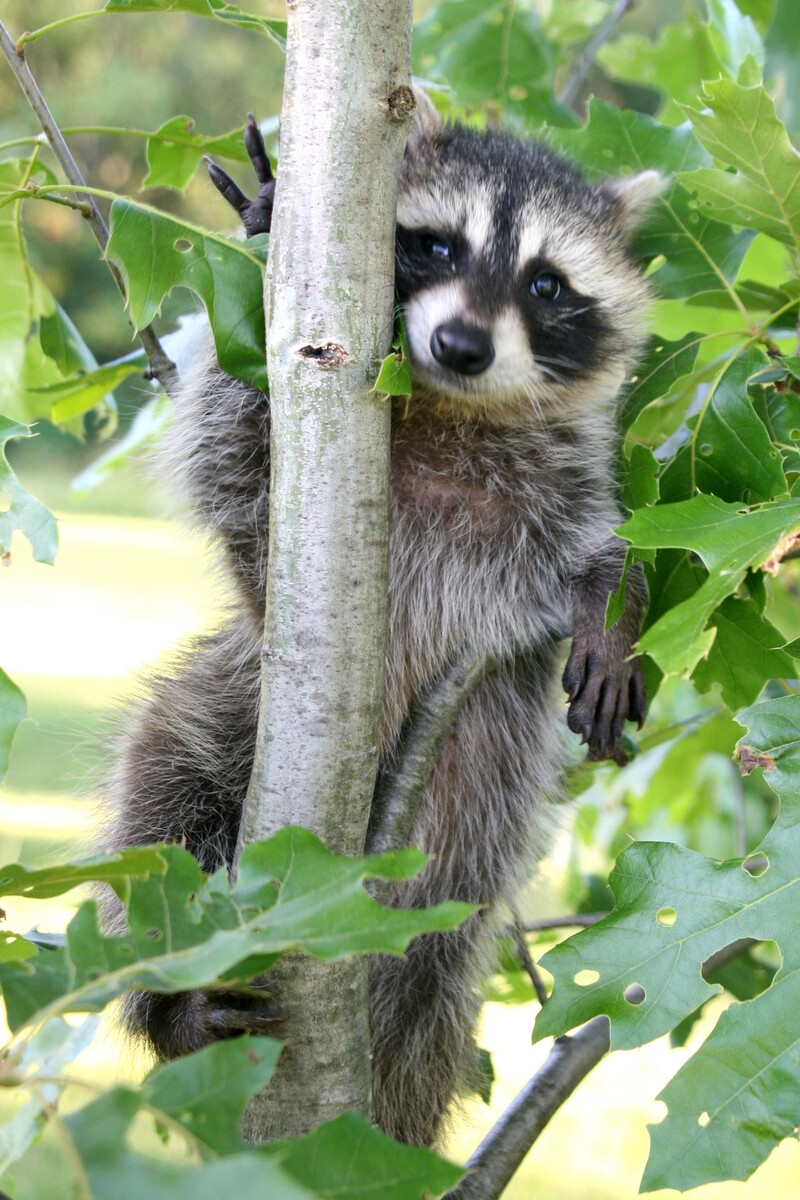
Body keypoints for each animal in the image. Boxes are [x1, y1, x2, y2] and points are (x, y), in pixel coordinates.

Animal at [104, 91, 657, 1142]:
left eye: (548, 283)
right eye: (437, 246)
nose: (463, 346)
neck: (447, 410)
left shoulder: (554, 478)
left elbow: (592, 548)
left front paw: (615, 600)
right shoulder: (274, 455)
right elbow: (234, 452)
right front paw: (267, 222)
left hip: (477, 794)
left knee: (440, 943)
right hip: (229, 715)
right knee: (159, 806)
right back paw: (173, 1005)